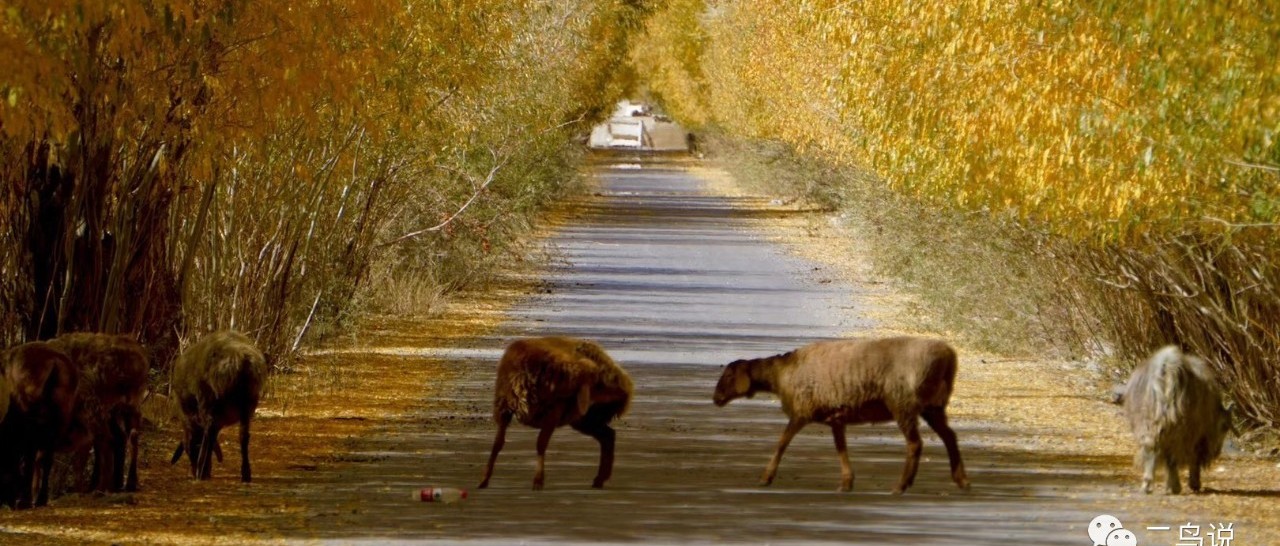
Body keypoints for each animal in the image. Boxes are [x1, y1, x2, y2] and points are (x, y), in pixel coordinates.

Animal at [0, 342, 79, 508]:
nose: (7, 500)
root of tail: (55, 362)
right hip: (60, 421)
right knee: (46, 459)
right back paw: (40, 498)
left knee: (31, 459)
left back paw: (26, 500)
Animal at [168, 332, 266, 480]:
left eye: (190, 451)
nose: (193, 471)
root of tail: (241, 358)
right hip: (247, 403)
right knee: (243, 436)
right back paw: (245, 474)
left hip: (209, 401)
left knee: (209, 434)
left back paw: (201, 470)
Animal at [481, 337, 634, 491]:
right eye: (589, 382)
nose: (623, 394)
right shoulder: (504, 409)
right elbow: (497, 443)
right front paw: (484, 480)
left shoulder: (553, 413)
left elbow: (541, 443)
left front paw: (538, 481)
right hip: (584, 419)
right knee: (607, 436)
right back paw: (599, 479)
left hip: (584, 417)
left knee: (607, 435)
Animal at [711, 337, 967, 496]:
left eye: (729, 376)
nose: (716, 398)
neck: (780, 374)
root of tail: (947, 357)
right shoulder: (836, 416)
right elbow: (840, 448)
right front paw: (846, 482)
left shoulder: (802, 411)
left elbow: (782, 443)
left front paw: (765, 478)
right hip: (933, 406)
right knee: (950, 437)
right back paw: (961, 480)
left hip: (902, 402)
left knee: (915, 444)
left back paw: (901, 486)